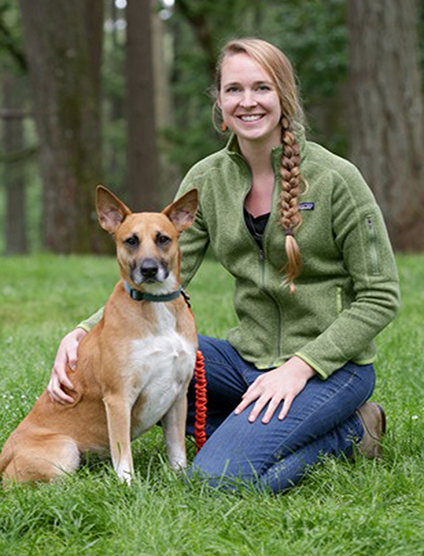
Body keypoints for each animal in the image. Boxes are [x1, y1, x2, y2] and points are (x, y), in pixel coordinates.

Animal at [0, 185, 199, 484]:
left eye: (163, 238)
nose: (149, 269)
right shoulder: (118, 398)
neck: (154, 305)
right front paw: (129, 487)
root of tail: (4, 454)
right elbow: (123, 454)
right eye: (131, 240)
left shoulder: (178, 396)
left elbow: (177, 452)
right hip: (64, 449)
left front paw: (179, 479)